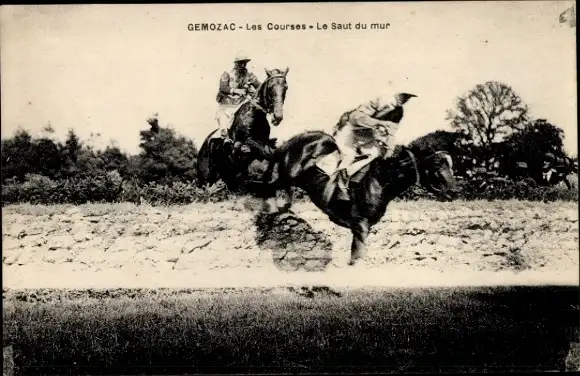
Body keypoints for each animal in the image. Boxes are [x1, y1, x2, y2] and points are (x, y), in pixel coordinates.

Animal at [260, 131, 460, 266]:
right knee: (268, 184)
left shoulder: (364, 228)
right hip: (281, 174)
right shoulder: (360, 226)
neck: (379, 180)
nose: (454, 191)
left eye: (450, 165)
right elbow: (357, 257)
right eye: (436, 165)